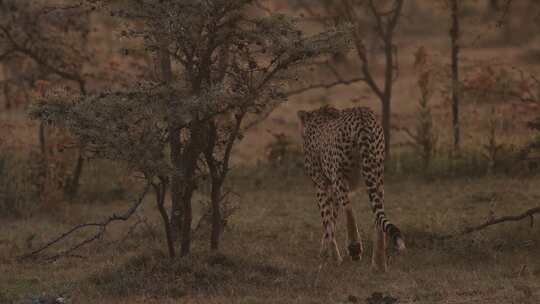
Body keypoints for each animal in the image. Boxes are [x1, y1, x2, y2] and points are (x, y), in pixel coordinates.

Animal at [298, 105, 408, 272]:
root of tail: (361, 114)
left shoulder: (322, 185)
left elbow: (327, 222)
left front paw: (332, 256)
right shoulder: (332, 190)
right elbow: (331, 222)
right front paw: (328, 252)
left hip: (340, 175)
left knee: (349, 208)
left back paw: (354, 247)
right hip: (377, 175)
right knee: (378, 217)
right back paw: (379, 264)